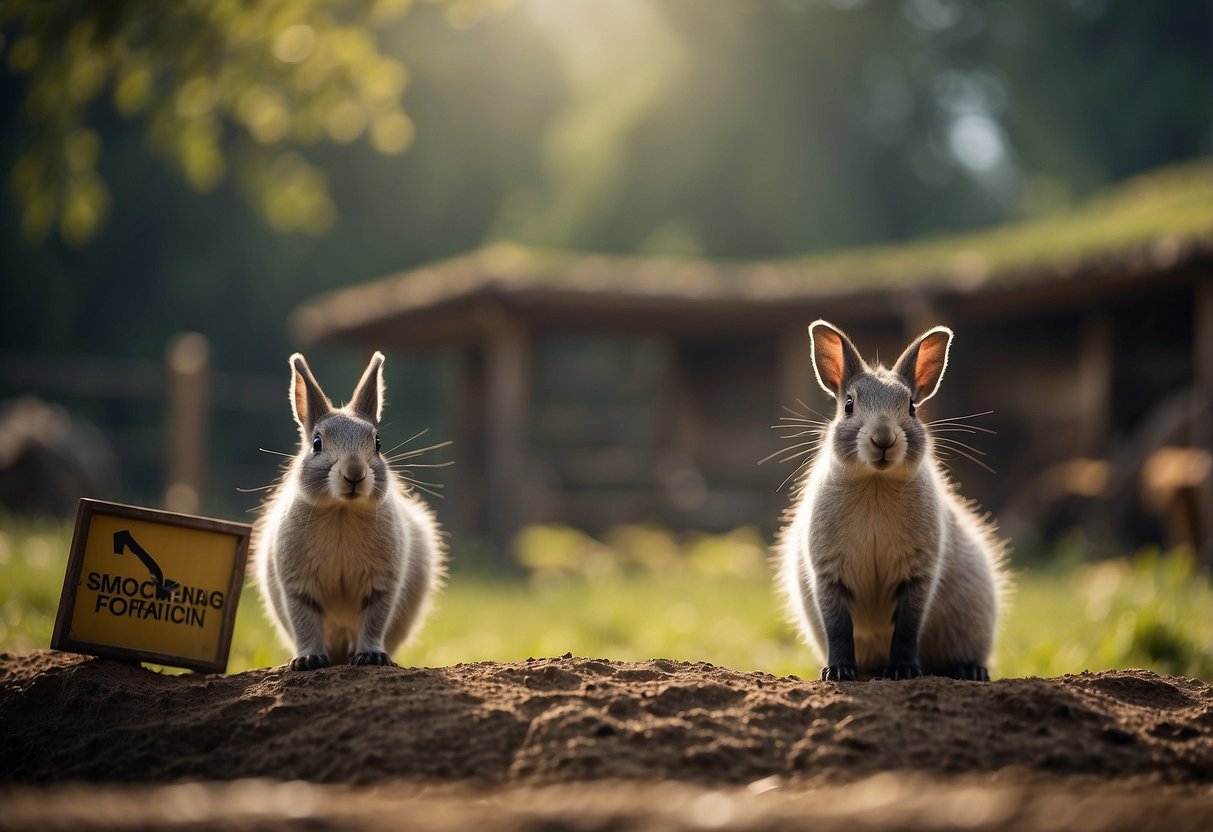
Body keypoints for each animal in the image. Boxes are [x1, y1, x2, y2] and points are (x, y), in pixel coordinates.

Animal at [254, 349, 446, 669]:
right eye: (316, 443)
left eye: (378, 443)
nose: (354, 473)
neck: (342, 511)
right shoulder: (297, 588)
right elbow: (304, 623)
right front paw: (308, 660)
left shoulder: (382, 586)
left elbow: (374, 621)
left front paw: (371, 656)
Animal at [776, 322, 1004, 679]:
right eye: (849, 404)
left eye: (911, 407)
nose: (883, 439)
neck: (876, 484)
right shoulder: (829, 576)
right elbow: (839, 629)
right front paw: (838, 672)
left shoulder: (918, 575)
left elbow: (907, 629)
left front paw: (903, 671)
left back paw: (971, 671)